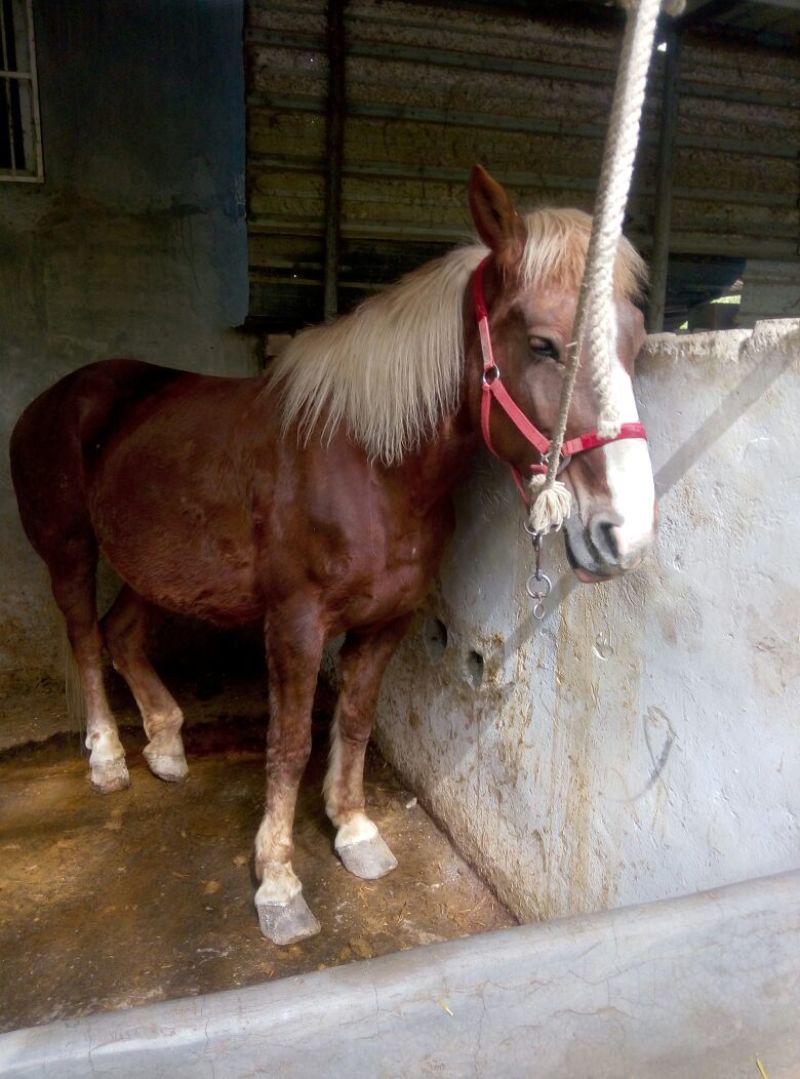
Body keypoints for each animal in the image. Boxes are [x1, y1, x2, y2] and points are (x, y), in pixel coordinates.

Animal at [10, 165, 656, 945]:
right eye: (543, 344)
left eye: (637, 341)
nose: (624, 531)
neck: (369, 462)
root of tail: (56, 397)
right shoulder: (295, 622)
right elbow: (288, 742)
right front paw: (278, 881)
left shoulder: (388, 620)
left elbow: (353, 718)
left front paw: (353, 830)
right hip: (71, 548)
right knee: (83, 636)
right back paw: (107, 755)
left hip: (159, 563)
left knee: (122, 633)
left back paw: (165, 744)